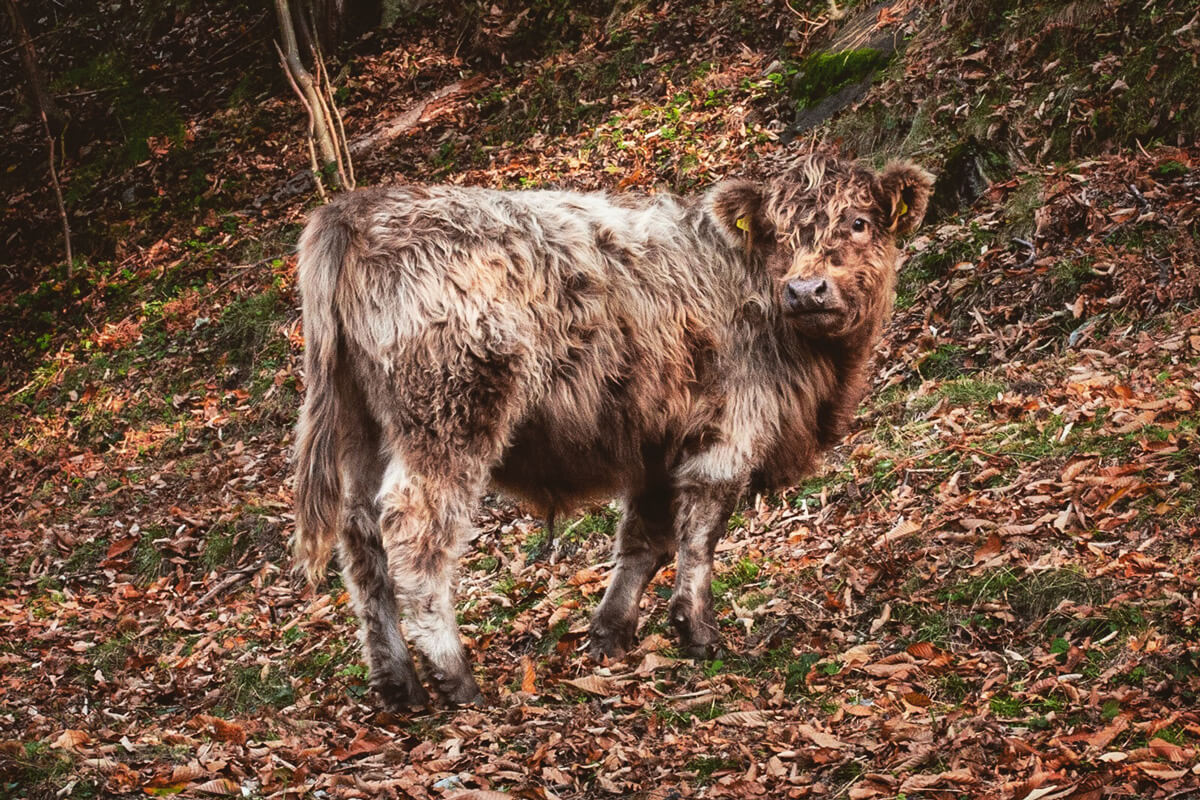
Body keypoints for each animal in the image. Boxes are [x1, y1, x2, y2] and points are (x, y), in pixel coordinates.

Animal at [292, 151, 936, 705]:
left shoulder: (658, 447)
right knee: (413, 534)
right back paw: (455, 677)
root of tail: (358, 207)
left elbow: (644, 541)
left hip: (360, 427)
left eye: (858, 222)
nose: (805, 290)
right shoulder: (727, 434)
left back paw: (397, 682)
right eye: (776, 233)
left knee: (360, 539)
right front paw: (698, 631)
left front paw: (610, 633)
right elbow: (699, 537)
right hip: (449, 417)